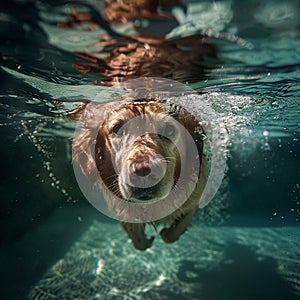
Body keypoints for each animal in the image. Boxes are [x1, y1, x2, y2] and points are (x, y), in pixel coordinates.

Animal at [71, 97, 207, 250]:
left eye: (169, 130)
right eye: (117, 128)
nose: (143, 173)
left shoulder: (195, 199)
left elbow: (174, 232)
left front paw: (166, 233)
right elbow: (138, 241)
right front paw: (147, 239)